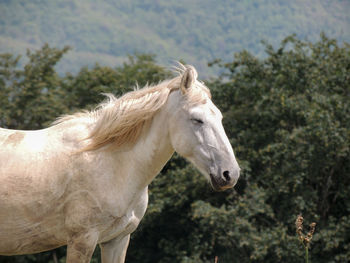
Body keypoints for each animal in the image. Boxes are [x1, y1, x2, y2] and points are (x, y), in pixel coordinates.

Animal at [0, 65, 241, 262]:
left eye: (219, 117)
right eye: (197, 119)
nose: (230, 174)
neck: (113, 164)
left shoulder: (118, 240)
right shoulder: (82, 240)